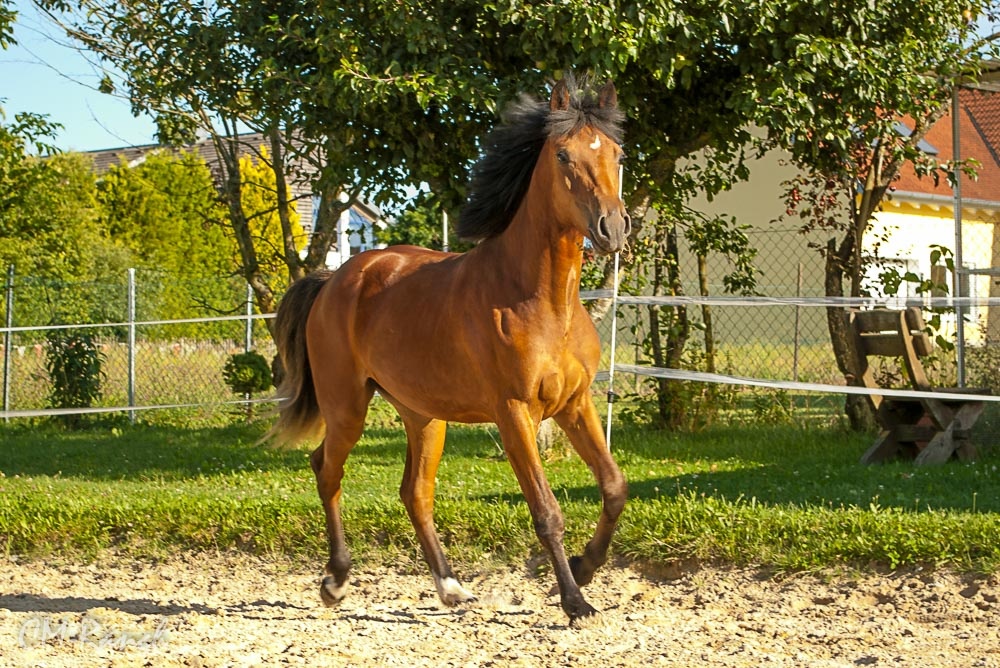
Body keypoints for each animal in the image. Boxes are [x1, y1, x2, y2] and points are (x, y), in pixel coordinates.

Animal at [272, 74, 632, 620]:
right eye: (563, 155)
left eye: (617, 152)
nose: (612, 228)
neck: (539, 299)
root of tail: (335, 279)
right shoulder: (514, 413)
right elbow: (546, 510)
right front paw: (574, 600)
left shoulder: (574, 403)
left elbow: (613, 488)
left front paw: (584, 569)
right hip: (348, 407)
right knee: (326, 470)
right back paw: (335, 581)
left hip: (424, 416)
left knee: (415, 493)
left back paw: (450, 587)